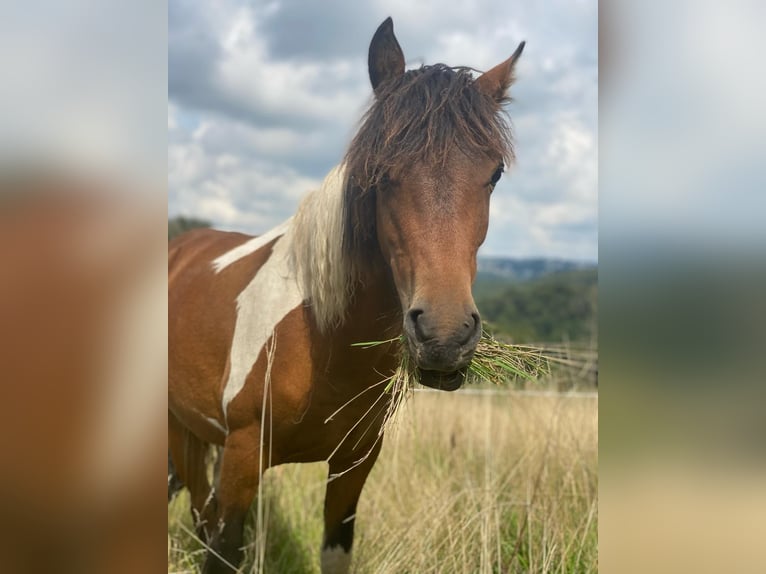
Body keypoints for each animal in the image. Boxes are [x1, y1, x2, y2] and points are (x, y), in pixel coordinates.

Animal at [169, 18, 524, 574]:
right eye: (381, 173)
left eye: (494, 174)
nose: (445, 337)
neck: (319, 334)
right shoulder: (242, 458)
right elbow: (222, 547)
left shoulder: (354, 462)